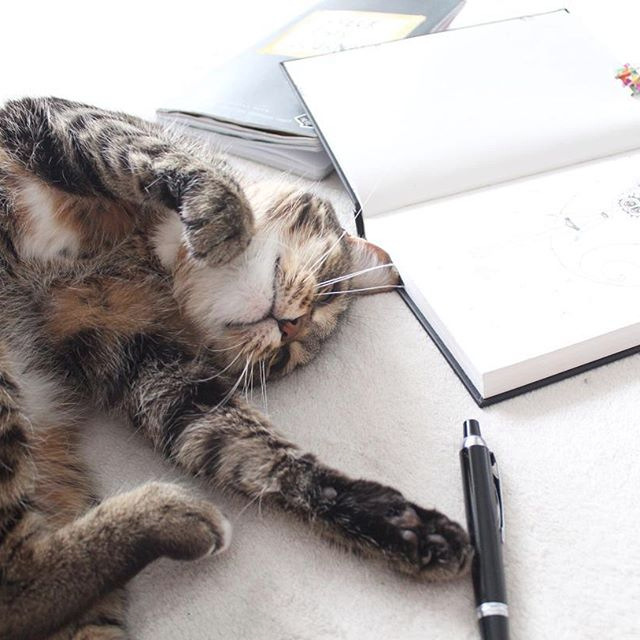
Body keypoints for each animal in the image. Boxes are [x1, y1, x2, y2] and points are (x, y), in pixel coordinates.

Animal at [0, 97, 471, 640]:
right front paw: (223, 222)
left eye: (284, 359)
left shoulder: (151, 365)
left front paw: (399, 525)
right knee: (14, 583)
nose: (292, 329)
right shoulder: (47, 119)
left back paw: (172, 518)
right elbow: (161, 154)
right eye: (328, 292)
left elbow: (258, 453)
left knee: (20, 587)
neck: (152, 260)